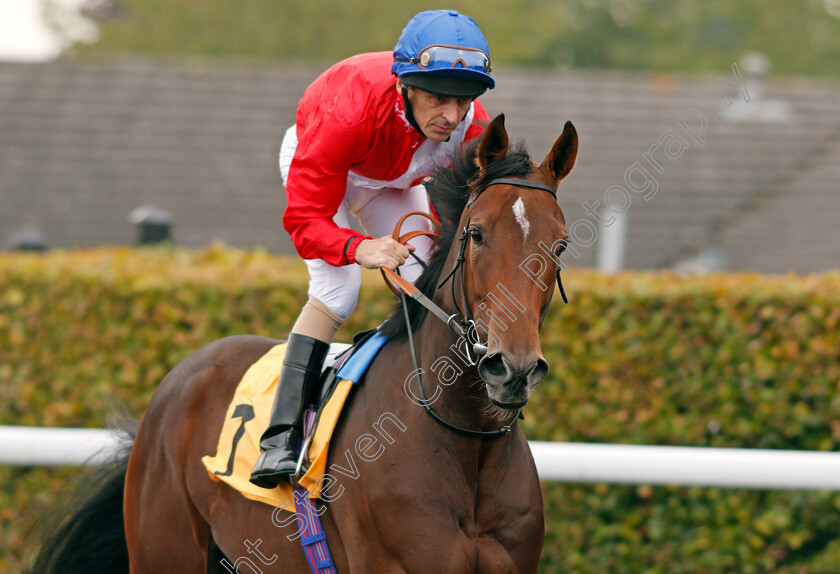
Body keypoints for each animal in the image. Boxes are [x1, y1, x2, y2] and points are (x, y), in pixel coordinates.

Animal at [29, 115, 576, 572]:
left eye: (561, 244)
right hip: (164, 549)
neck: (466, 442)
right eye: (477, 233)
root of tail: (177, 382)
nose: (514, 369)